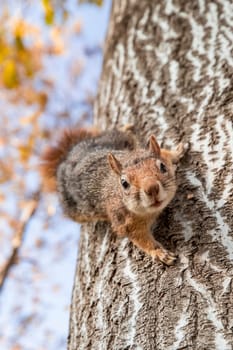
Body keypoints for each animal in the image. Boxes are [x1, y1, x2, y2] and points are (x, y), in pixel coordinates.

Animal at [41, 126, 185, 266]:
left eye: (162, 166)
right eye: (124, 183)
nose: (152, 188)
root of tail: (70, 156)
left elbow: (165, 154)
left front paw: (177, 151)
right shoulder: (126, 223)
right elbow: (142, 240)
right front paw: (160, 253)